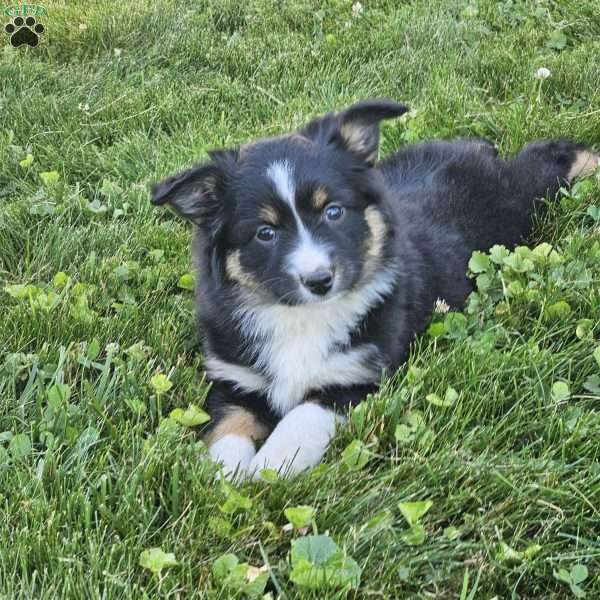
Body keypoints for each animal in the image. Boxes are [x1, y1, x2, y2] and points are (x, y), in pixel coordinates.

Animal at [150, 99, 596, 482]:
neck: (301, 316)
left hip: (522, 202)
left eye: (333, 211)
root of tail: (477, 150)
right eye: (265, 233)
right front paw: (226, 477)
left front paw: (268, 469)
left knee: (546, 159)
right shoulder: (234, 379)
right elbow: (226, 429)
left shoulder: (356, 376)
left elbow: (300, 419)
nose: (320, 281)